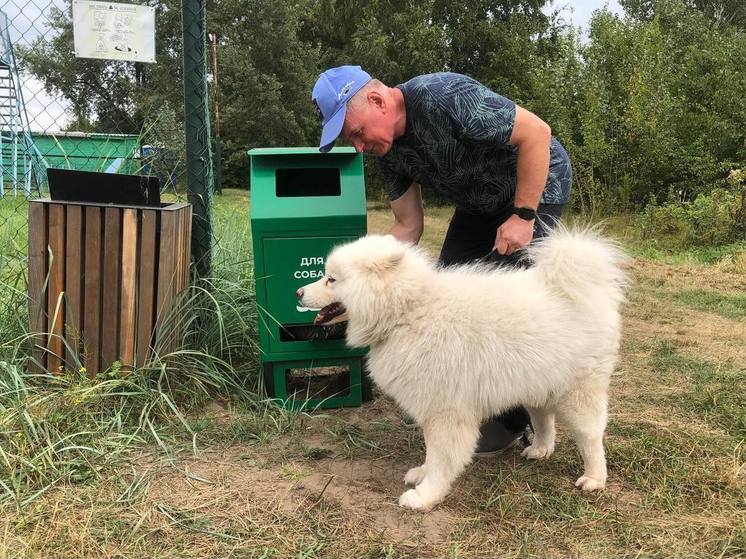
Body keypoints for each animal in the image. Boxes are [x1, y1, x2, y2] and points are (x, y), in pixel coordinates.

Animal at [296, 226, 620, 512]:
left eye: (331, 279)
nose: (298, 292)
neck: (408, 311)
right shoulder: (431, 410)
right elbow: (431, 454)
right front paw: (422, 474)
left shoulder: (446, 413)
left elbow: (442, 460)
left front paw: (425, 496)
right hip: (537, 382)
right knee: (544, 419)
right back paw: (541, 449)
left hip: (580, 393)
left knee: (591, 437)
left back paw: (594, 478)